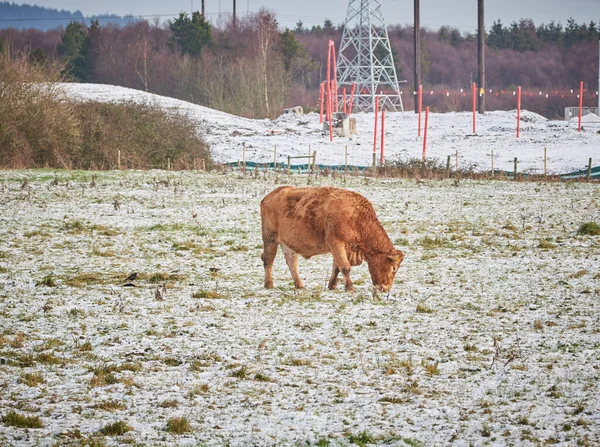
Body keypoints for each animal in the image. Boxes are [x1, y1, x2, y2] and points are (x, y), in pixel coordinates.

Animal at [260, 186, 406, 294]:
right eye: (393, 268)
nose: (386, 288)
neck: (356, 216)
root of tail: (270, 196)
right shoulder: (336, 243)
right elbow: (345, 266)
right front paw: (350, 287)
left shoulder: (343, 248)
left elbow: (336, 268)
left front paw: (332, 286)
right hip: (270, 239)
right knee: (268, 261)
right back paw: (269, 284)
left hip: (288, 244)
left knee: (292, 263)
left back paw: (299, 285)